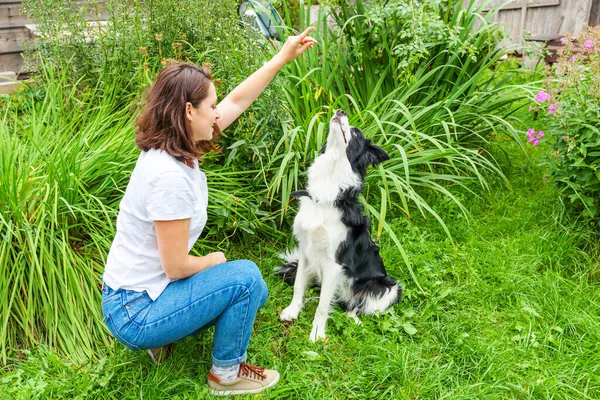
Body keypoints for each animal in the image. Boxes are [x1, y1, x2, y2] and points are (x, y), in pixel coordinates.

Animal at [278, 111, 404, 342]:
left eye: (356, 133)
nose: (340, 112)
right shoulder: (305, 251)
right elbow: (299, 285)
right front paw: (292, 311)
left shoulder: (334, 263)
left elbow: (322, 305)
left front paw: (317, 333)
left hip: (389, 287)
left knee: (355, 306)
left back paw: (354, 320)